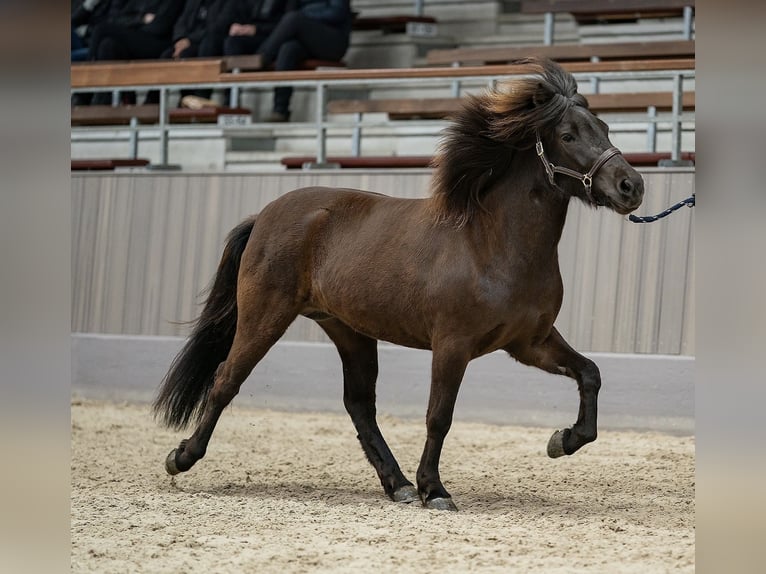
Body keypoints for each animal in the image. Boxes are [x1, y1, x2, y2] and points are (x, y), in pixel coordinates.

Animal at [153, 58, 644, 511]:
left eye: (603, 127)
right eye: (569, 135)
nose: (631, 186)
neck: (493, 244)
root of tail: (265, 215)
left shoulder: (529, 342)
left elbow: (590, 373)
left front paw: (562, 440)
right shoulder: (453, 344)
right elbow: (439, 417)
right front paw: (436, 490)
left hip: (348, 330)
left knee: (359, 405)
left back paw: (399, 485)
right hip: (265, 316)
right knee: (226, 379)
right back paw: (181, 457)